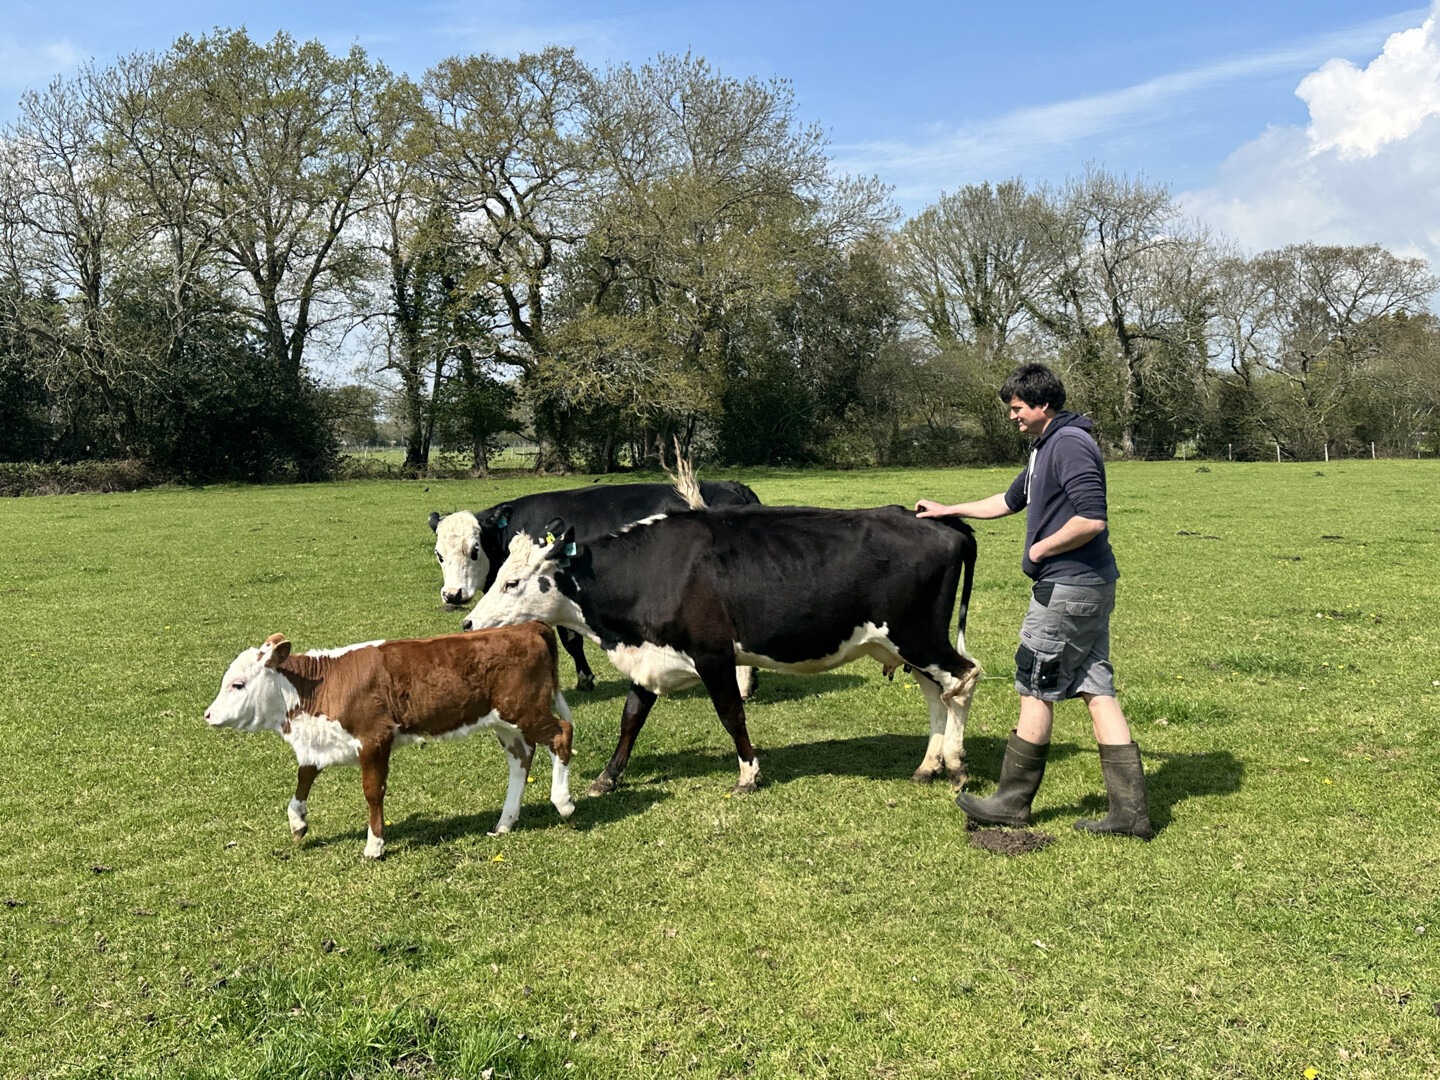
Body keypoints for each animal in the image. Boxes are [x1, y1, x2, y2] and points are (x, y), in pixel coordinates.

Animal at [203, 622, 576, 859]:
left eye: (237, 684)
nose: (208, 715)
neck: (320, 687)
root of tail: (527, 627)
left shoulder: (374, 739)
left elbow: (372, 792)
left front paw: (374, 845)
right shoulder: (321, 743)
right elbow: (303, 777)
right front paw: (298, 822)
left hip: (525, 710)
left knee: (562, 734)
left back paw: (563, 803)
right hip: (505, 722)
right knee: (521, 759)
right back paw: (505, 822)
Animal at [430, 478, 760, 691]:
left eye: (474, 550)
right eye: (439, 554)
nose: (452, 594)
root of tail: (734, 487)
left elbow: (570, 640)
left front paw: (584, 679)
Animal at [462, 504, 980, 796]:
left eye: (512, 582)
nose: (467, 623)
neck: (651, 572)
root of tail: (941, 522)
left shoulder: (713, 655)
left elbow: (732, 714)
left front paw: (749, 773)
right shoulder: (649, 658)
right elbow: (631, 719)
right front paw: (608, 777)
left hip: (919, 637)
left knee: (963, 678)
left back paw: (955, 766)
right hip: (911, 646)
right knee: (938, 694)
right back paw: (929, 765)